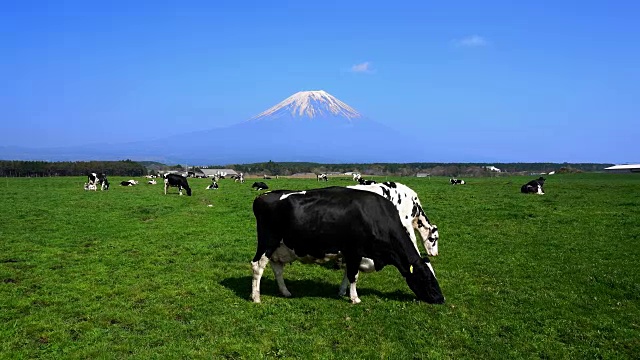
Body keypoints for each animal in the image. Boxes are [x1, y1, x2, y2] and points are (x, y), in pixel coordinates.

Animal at [251, 187, 444, 306]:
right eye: (426, 278)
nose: (441, 298)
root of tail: (263, 196)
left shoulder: (351, 254)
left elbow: (347, 274)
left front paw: (342, 292)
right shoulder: (354, 251)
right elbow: (353, 276)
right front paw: (355, 298)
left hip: (279, 248)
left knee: (277, 269)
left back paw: (285, 292)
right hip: (268, 243)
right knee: (257, 266)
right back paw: (256, 297)